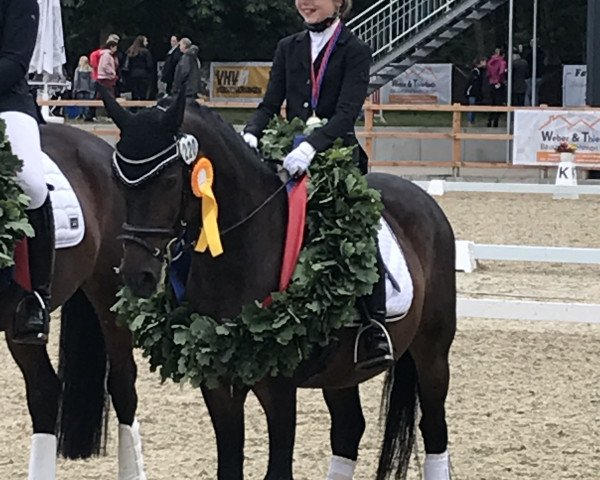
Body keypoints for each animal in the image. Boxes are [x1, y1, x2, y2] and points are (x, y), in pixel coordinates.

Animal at [101, 91, 454, 480]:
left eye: (167, 180)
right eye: (119, 181)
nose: (137, 276)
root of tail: (424, 199)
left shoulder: (279, 388)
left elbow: (278, 469)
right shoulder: (218, 385)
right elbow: (229, 467)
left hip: (432, 353)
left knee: (434, 429)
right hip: (341, 372)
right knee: (348, 429)